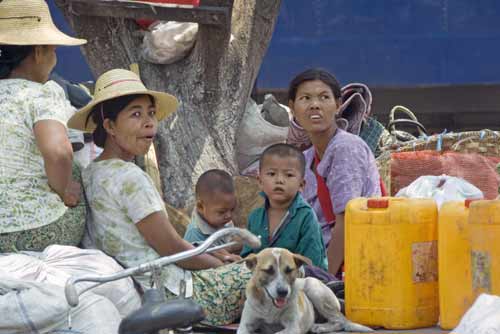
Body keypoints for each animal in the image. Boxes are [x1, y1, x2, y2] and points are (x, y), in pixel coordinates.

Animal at [237, 248, 372, 334]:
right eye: (268, 270)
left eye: (289, 270)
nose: (283, 292)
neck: (270, 306)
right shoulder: (245, 325)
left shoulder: (293, 327)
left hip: (314, 288)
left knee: (340, 321)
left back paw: (321, 327)